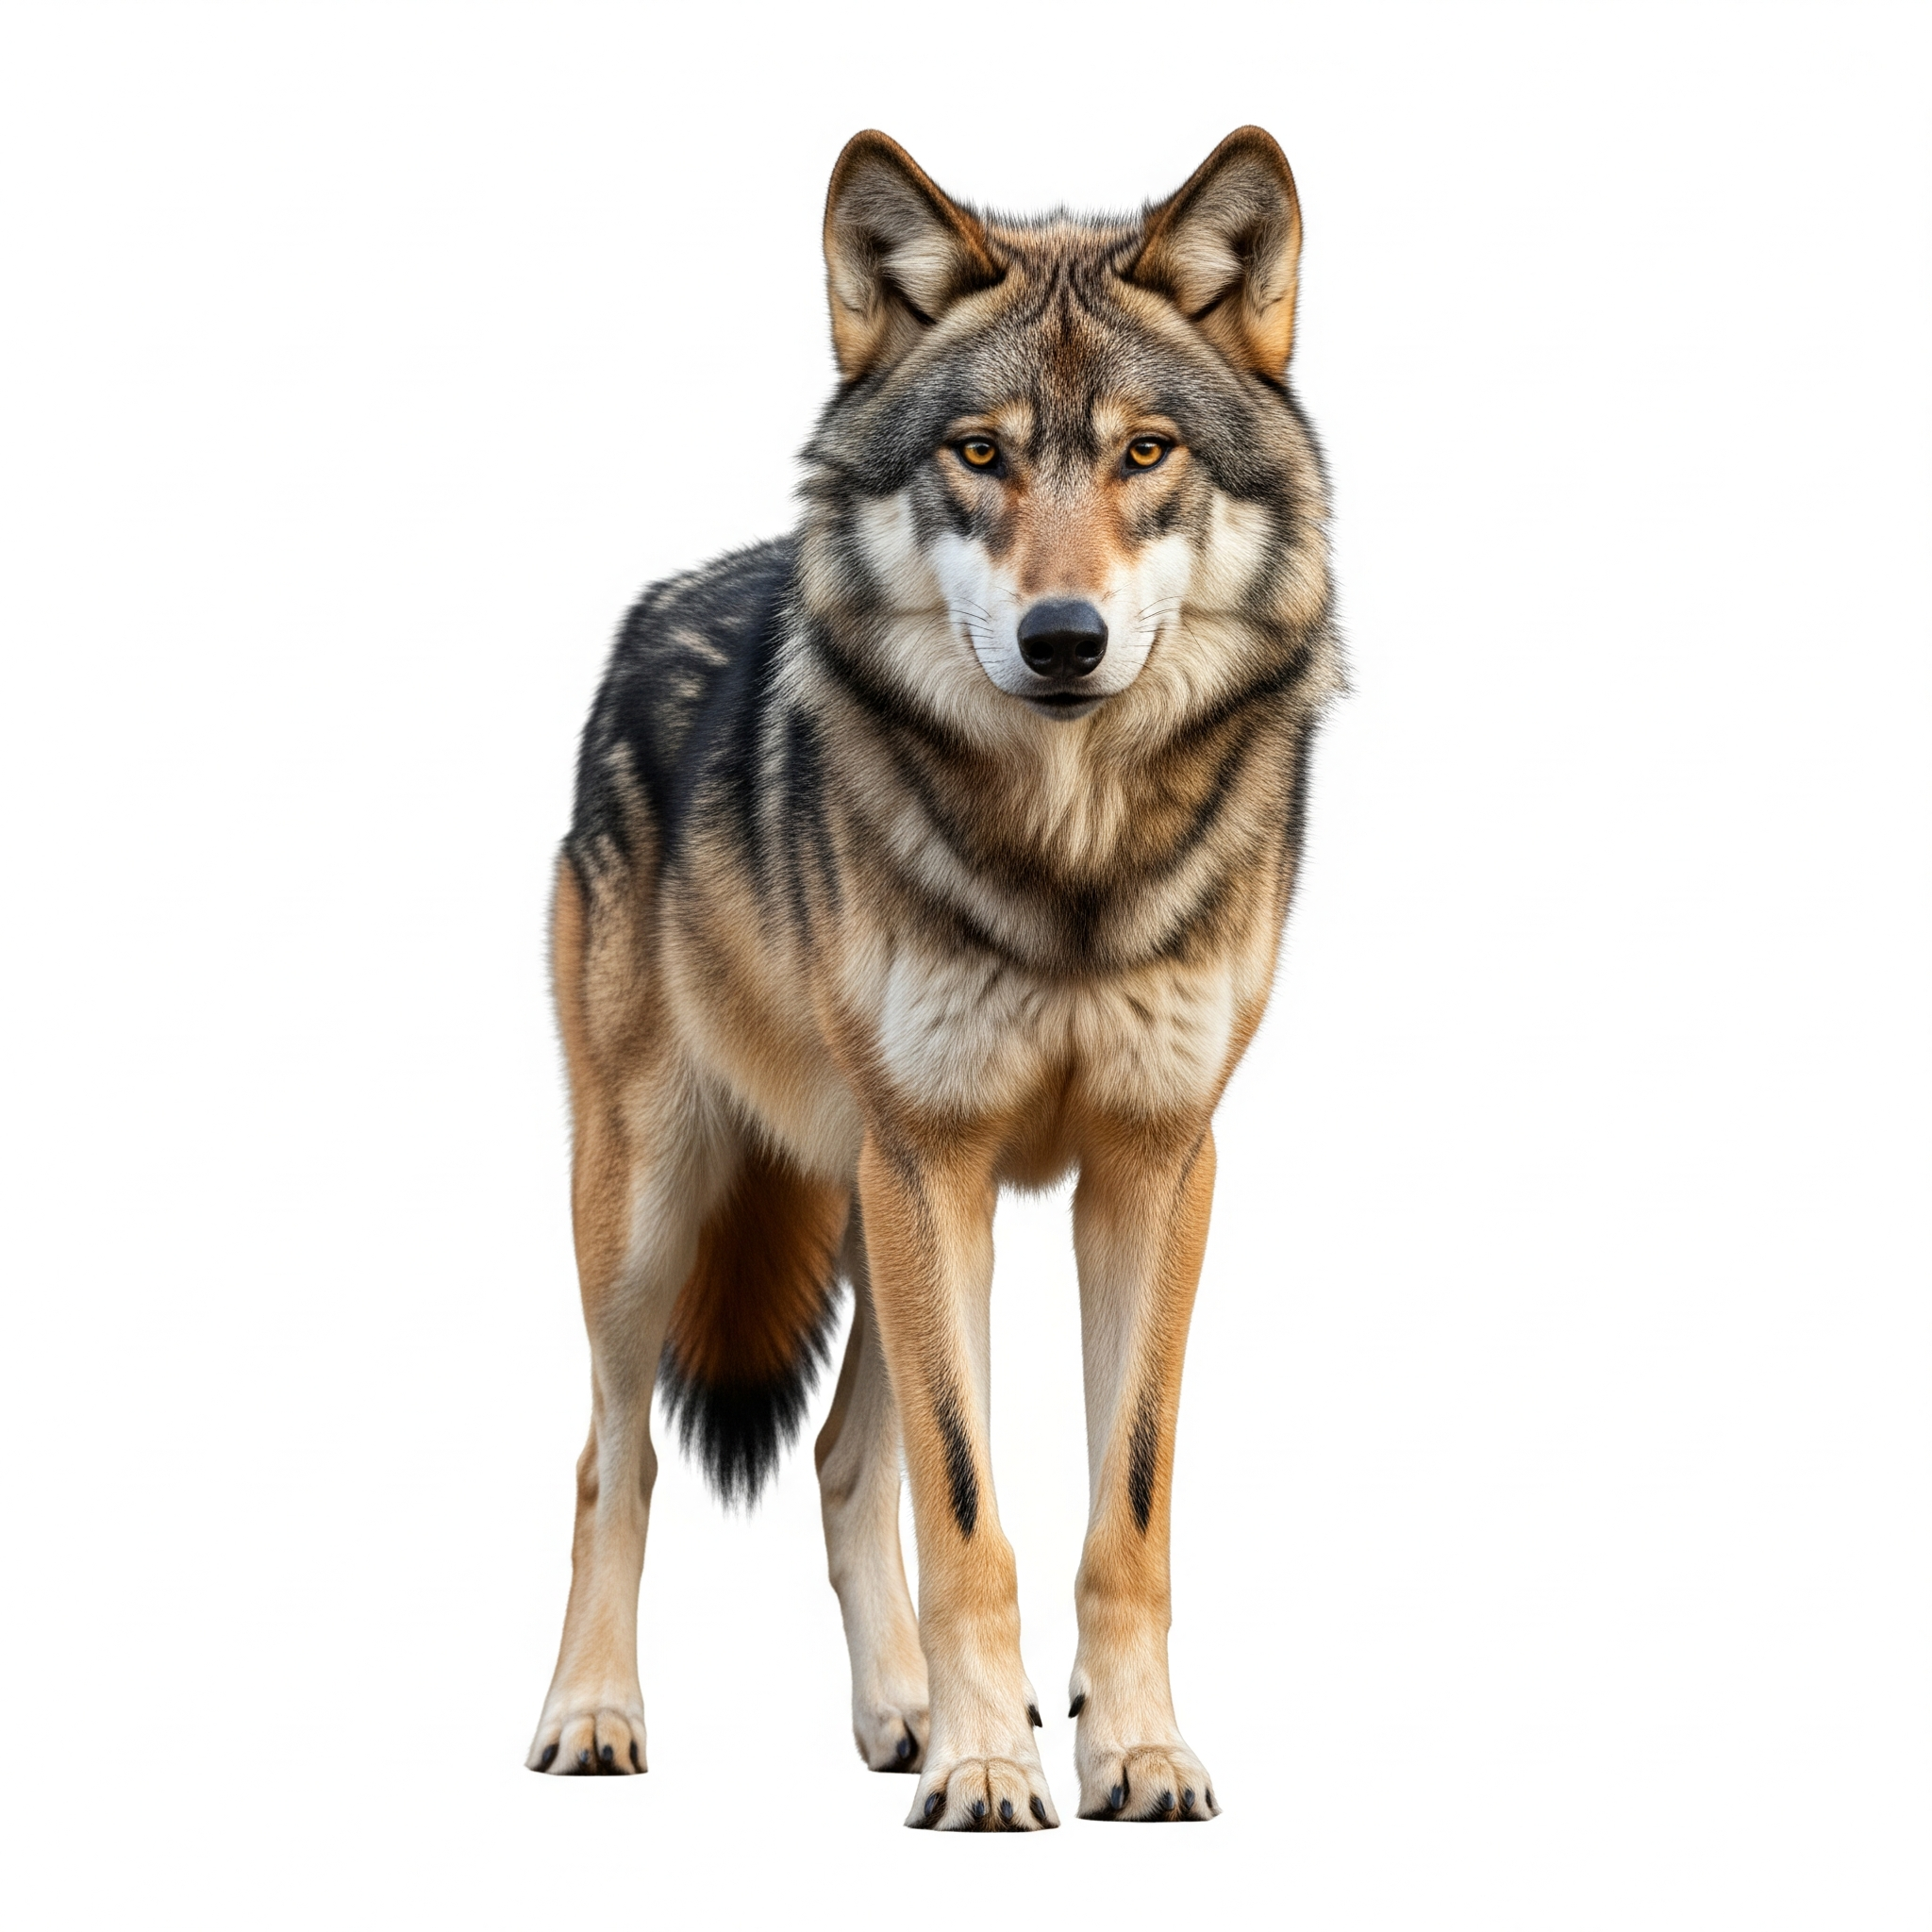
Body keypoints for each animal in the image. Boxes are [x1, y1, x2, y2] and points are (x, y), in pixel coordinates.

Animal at [527, 126, 1339, 1828]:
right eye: (978, 454)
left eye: (1145, 453)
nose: (1062, 637)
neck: (1067, 860)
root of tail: (651, 611)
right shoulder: (938, 1156)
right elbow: (971, 1513)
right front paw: (985, 1772)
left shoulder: (1154, 1161)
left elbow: (1122, 1513)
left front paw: (1130, 1751)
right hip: (660, 1204)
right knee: (611, 1459)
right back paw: (593, 1713)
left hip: (870, 1204)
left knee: (846, 1458)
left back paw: (898, 1711)